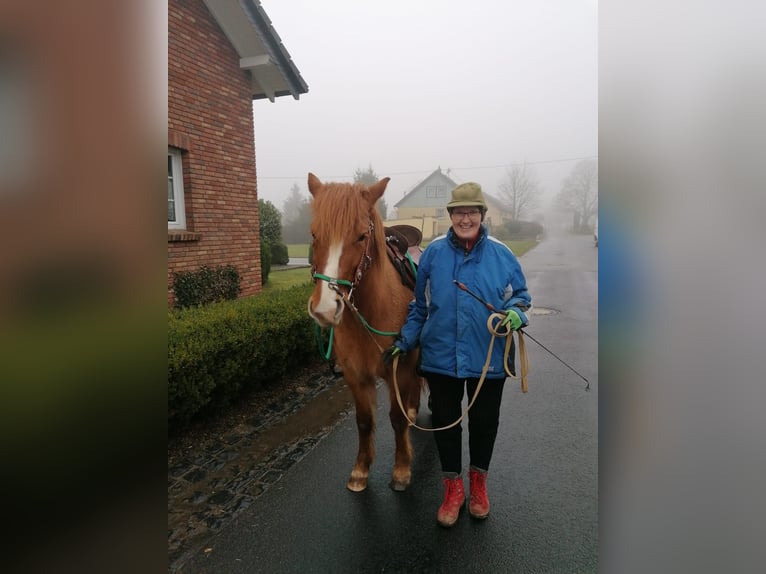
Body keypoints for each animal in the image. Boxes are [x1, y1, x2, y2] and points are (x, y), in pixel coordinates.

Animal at [306, 172, 424, 492]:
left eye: (361, 236)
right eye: (314, 234)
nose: (324, 308)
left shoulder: (398, 370)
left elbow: (395, 419)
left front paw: (402, 469)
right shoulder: (355, 376)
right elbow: (364, 421)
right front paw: (360, 470)